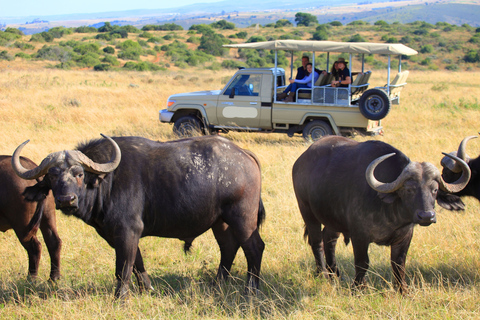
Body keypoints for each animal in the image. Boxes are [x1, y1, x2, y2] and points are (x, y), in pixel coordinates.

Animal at [11, 134, 264, 298]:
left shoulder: (127, 231)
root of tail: (244, 155)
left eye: (79, 173)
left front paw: (120, 296)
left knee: (254, 247)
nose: (66, 200)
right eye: (52, 176)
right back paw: (218, 283)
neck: (107, 181)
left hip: (242, 218)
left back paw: (251, 288)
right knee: (229, 247)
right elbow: (137, 263)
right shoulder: (117, 235)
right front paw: (146, 289)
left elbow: (123, 267)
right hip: (220, 222)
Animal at [290, 136, 470, 292]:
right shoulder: (359, 235)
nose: (427, 216)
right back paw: (322, 274)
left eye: (435, 190)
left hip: (333, 218)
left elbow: (399, 264)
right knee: (317, 242)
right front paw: (358, 288)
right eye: (409, 190)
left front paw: (403, 290)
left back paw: (335, 273)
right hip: (306, 210)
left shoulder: (405, 236)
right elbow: (362, 262)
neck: (391, 215)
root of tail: (300, 161)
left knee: (329, 239)